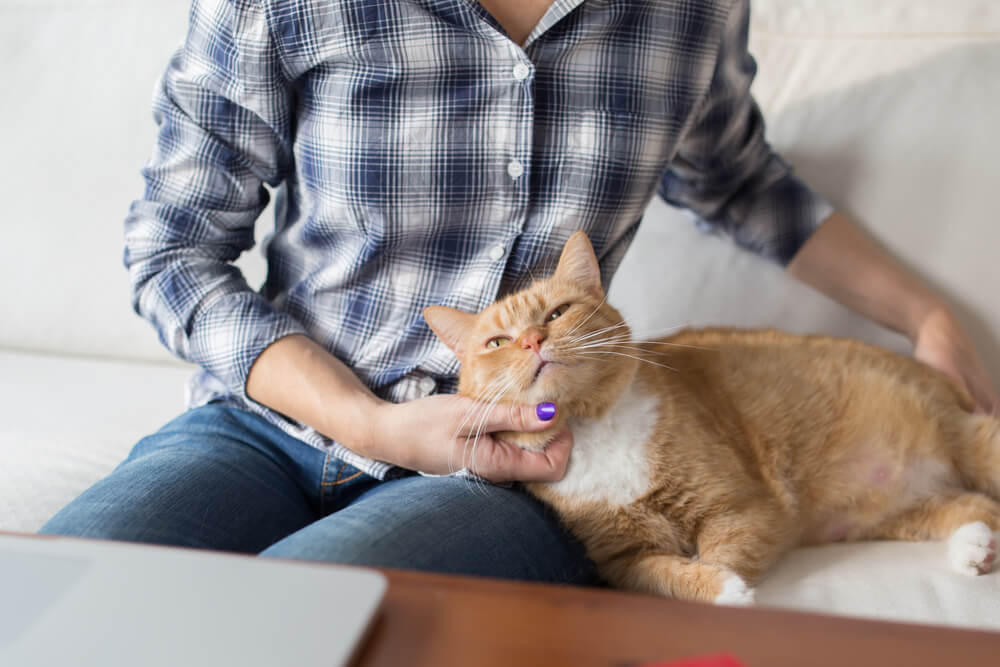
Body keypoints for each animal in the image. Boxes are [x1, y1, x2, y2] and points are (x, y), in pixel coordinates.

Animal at [422, 231, 1000, 604]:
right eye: (497, 343)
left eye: (558, 313)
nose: (531, 341)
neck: (593, 430)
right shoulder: (622, 561)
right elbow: (663, 574)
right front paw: (716, 588)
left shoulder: (740, 508)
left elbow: (720, 554)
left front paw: (729, 589)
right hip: (908, 509)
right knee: (977, 507)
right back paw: (975, 549)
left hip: (976, 445)